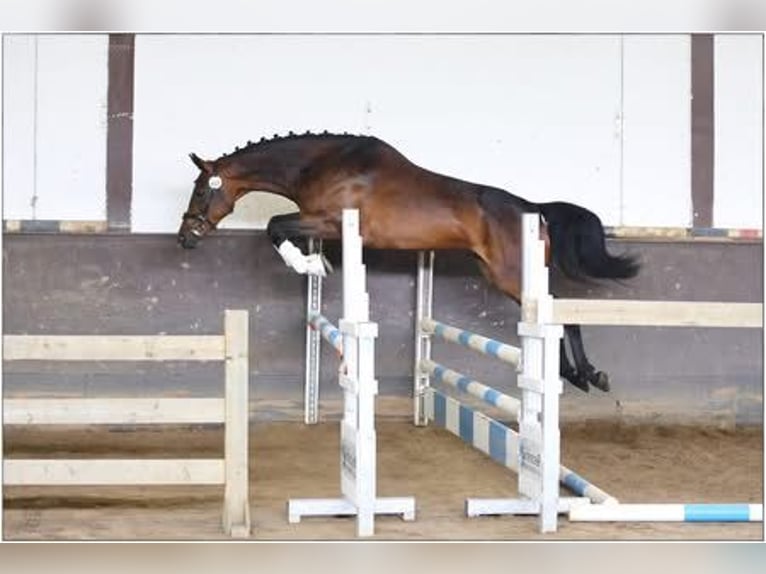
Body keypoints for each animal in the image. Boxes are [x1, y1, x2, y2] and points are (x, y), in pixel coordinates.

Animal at [178, 132, 640, 392]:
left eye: (201, 190)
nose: (184, 238)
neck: (322, 164)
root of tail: (533, 208)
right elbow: (281, 228)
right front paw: (313, 264)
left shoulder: (330, 220)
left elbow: (274, 226)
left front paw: (309, 266)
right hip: (505, 276)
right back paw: (574, 375)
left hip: (514, 275)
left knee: (562, 316)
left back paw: (586, 375)